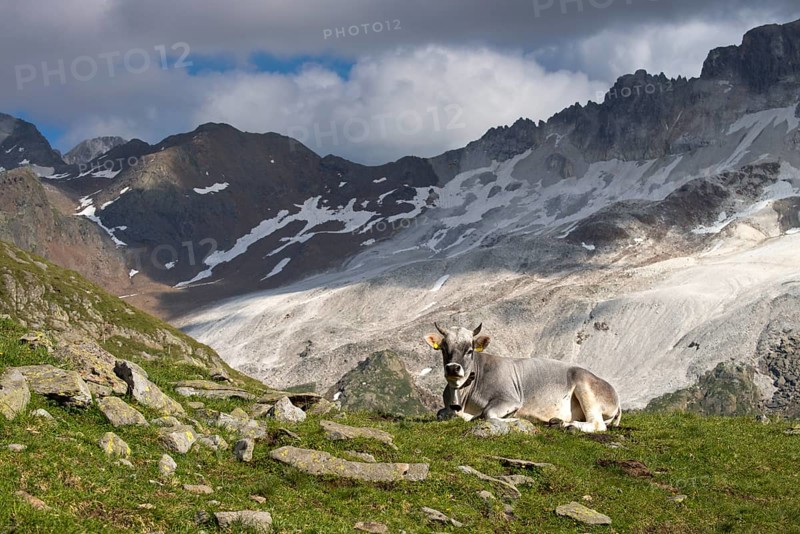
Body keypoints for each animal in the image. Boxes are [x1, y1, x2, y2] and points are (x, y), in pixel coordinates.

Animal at [424, 322, 621, 433]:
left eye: (470, 350)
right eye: (443, 349)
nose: (453, 368)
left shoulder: (509, 399)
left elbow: (488, 414)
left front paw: (515, 420)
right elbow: (440, 413)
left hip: (585, 386)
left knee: (597, 424)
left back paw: (569, 426)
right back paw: (557, 422)